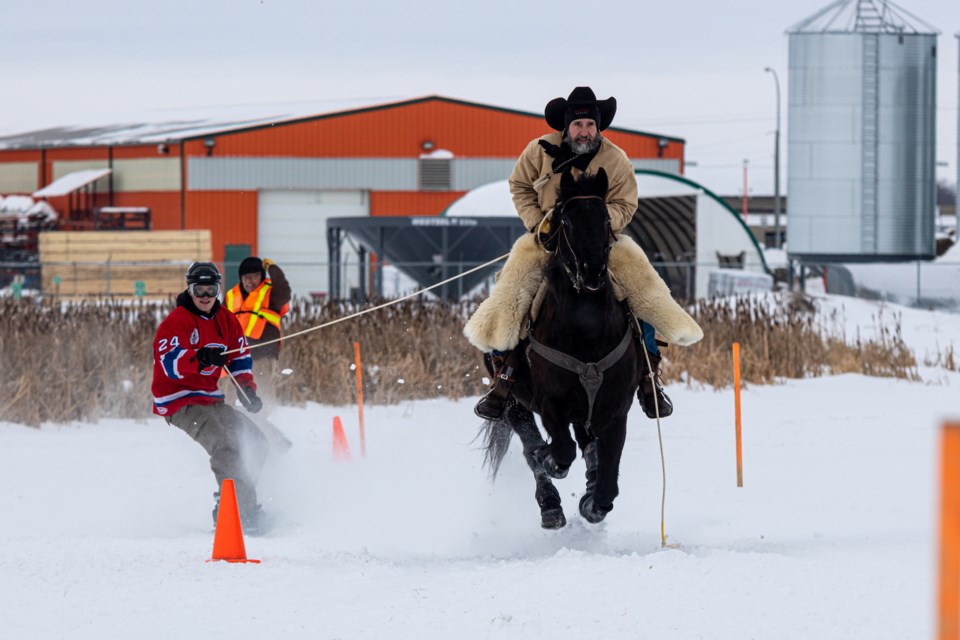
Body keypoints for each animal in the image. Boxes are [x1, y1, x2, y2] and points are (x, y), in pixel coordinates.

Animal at [480, 168, 636, 528]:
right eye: (566, 220)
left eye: (606, 218)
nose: (592, 271)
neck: (586, 331)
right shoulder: (550, 403)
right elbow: (559, 451)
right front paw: (549, 460)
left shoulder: (616, 409)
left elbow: (608, 481)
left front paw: (593, 502)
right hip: (514, 401)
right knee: (529, 442)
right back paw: (549, 502)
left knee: (586, 444)